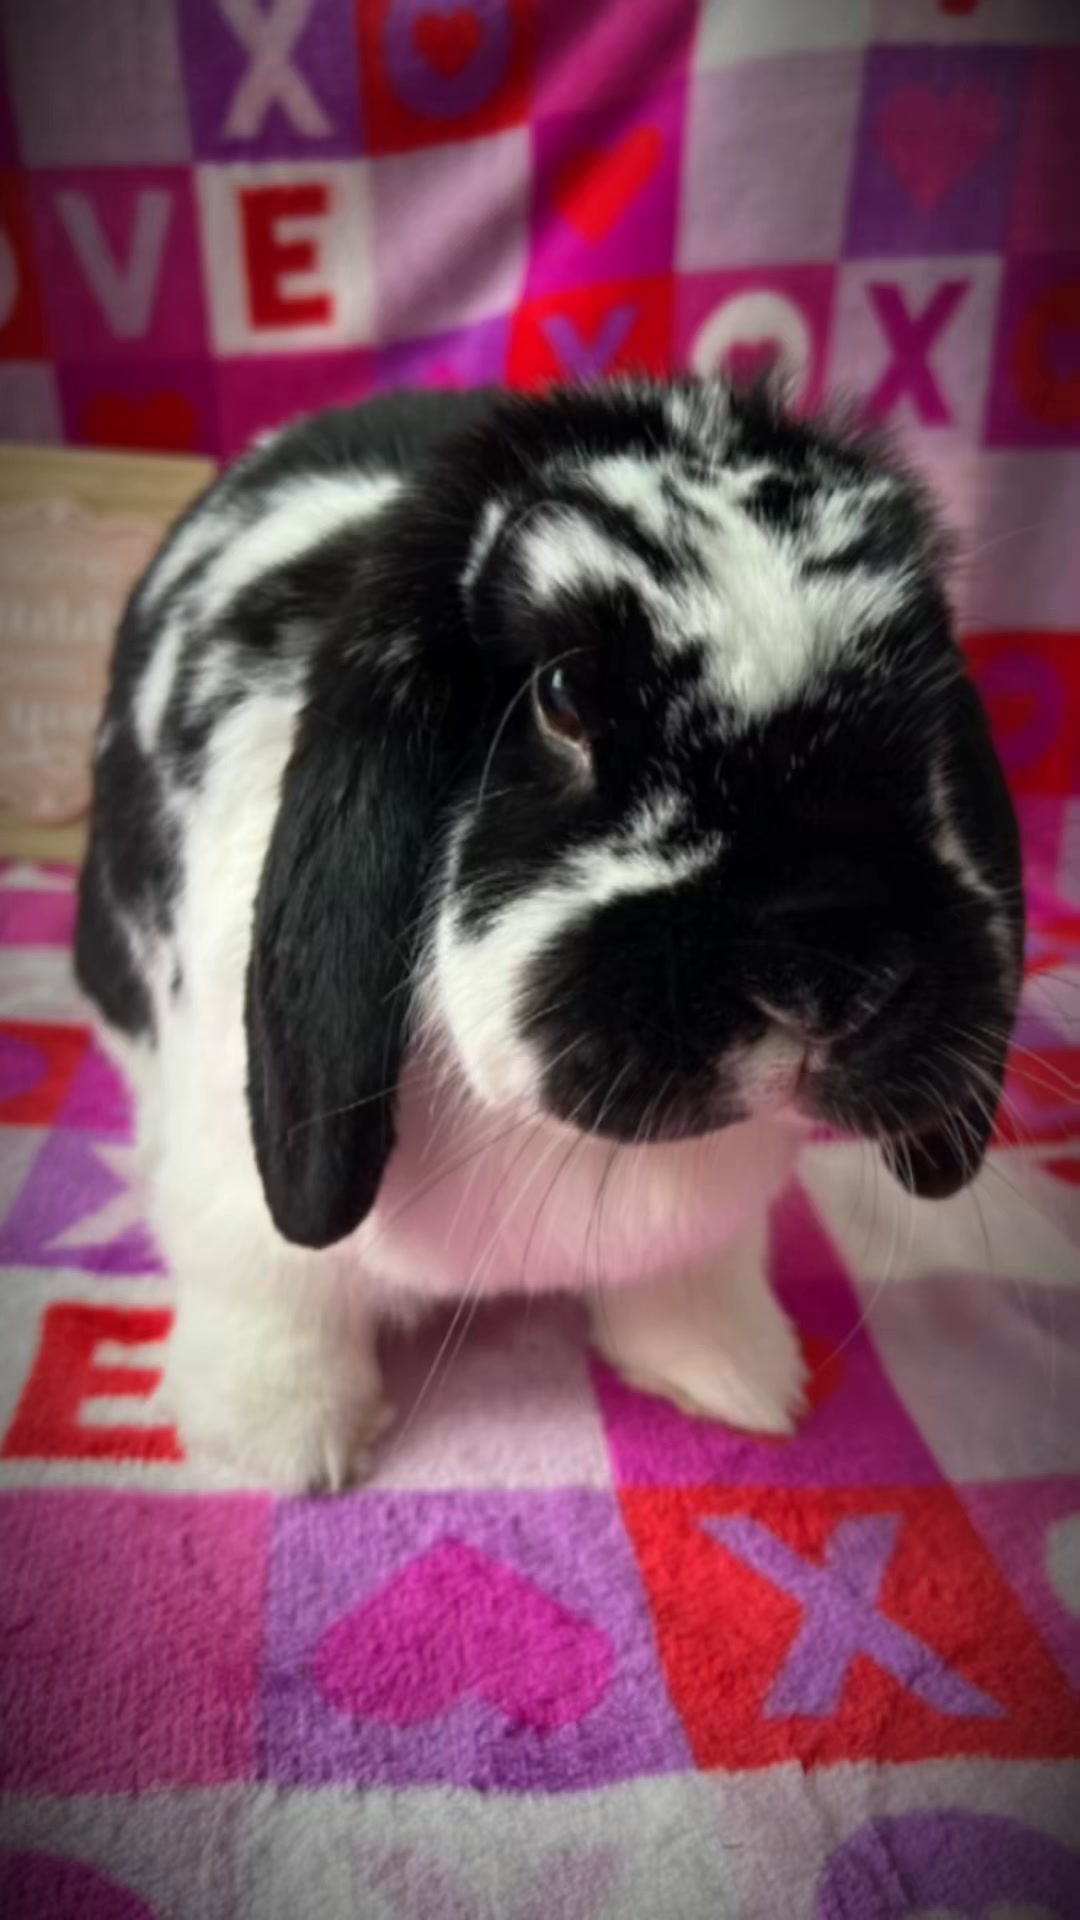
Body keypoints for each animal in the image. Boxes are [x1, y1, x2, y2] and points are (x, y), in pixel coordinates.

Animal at [75, 378, 1024, 1491]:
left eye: (922, 712)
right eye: (561, 699)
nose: (830, 969)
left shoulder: (703, 1235)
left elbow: (694, 1281)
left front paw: (737, 1377)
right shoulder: (243, 1211)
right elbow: (274, 1302)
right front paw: (284, 1449)